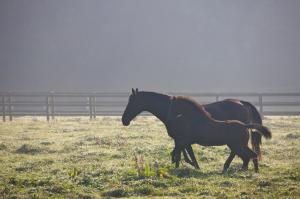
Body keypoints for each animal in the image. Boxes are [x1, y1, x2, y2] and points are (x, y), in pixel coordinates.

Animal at [123, 90, 266, 169]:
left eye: (132, 102)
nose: (124, 120)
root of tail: (242, 102)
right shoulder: (180, 139)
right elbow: (185, 153)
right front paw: (190, 166)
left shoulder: (182, 139)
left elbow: (181, 153)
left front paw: (190, 166)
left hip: (236, 140)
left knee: (237, 152)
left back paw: (228, 166)